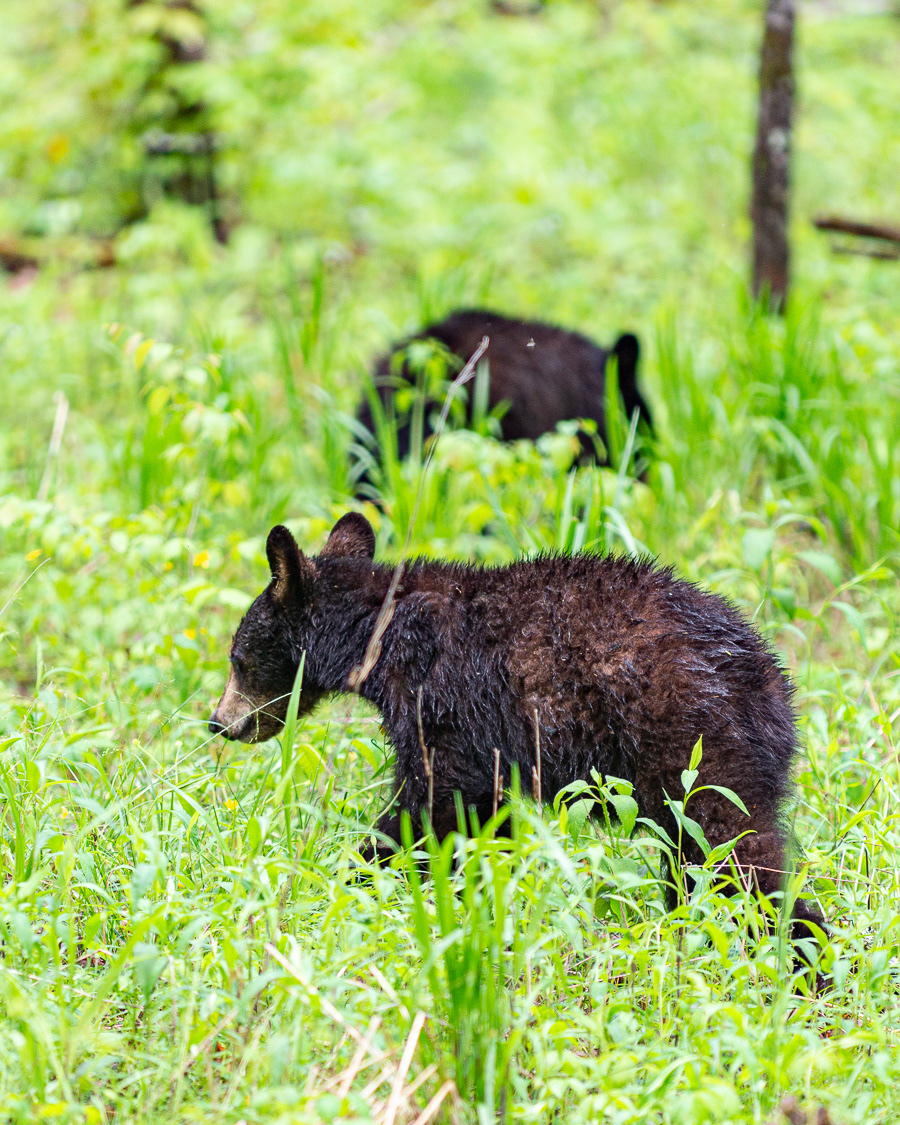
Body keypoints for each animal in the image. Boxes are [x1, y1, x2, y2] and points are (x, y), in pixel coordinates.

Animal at [209, 513, 825, 948]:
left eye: (238, 657)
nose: (220, 722)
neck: (377, 630)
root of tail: (771, 685)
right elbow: (483, 818)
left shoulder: (441, 702)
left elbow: (430, 804)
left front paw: (344, 879)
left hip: (693, 745)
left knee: (736, 853)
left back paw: (800, 958)